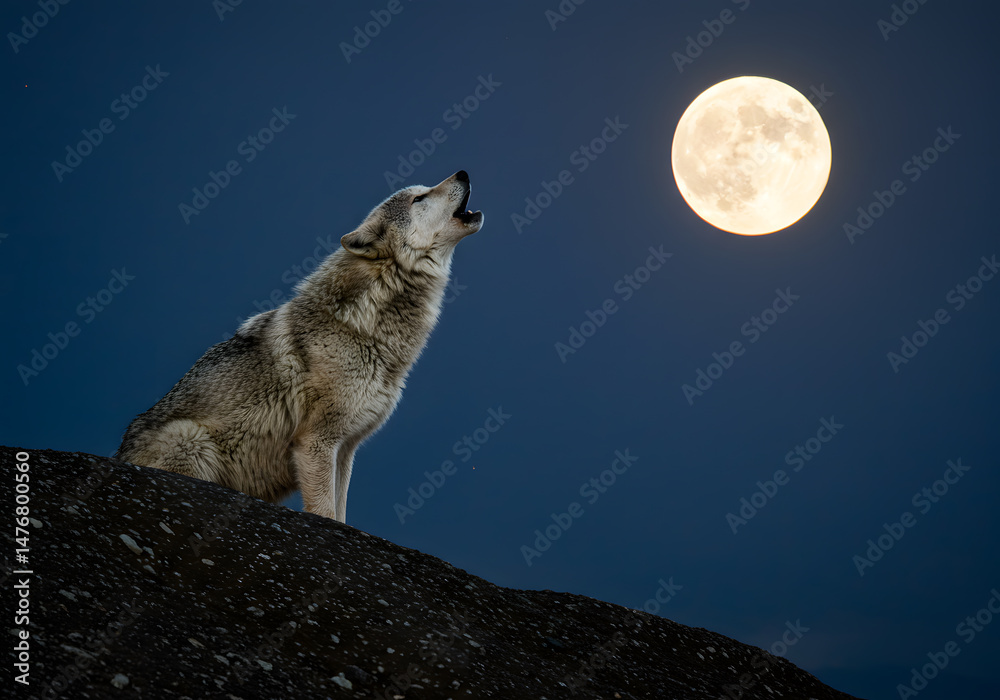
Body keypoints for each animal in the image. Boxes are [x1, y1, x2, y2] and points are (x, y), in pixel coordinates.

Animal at [116, 171, 483, 523]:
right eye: (419, 198)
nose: (463, 172)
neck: (363, 326)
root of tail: (120, 454)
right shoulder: (315, 442)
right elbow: (324, 512)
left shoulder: (346, 449)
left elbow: (341, 514)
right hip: (192, 439)